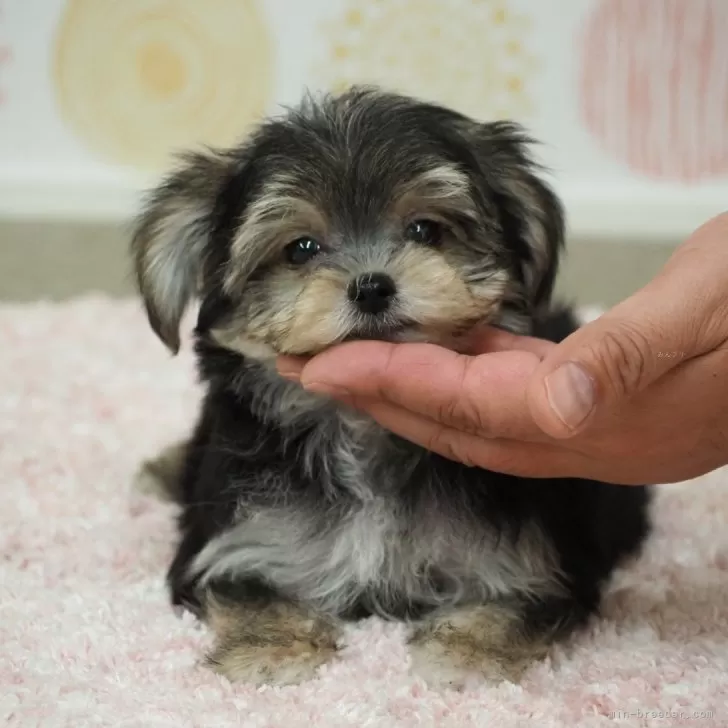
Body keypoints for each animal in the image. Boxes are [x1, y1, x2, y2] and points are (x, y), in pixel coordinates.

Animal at [128, 85, 652, 688]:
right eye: (300, 249)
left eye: (425, 230)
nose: (372, 286)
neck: (364, 430)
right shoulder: (236, 539)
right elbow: (246, 589)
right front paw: (271, 650)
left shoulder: (537, 557)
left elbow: (515, 603)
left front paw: (466, 654)